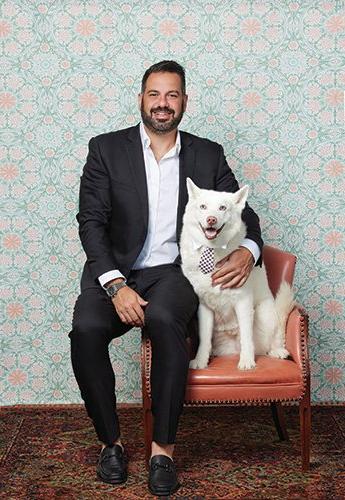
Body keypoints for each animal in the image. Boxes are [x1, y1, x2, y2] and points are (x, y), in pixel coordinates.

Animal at [179, 180, 294, 372]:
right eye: (203, 206)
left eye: (222, 207)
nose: (211, 219)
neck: (213, 251)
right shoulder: (204, 307)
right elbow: (204, 339)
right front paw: (201, 361)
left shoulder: (243, 302)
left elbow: (247, 337)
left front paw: (247, 361)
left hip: (264, 312)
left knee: (272, 338)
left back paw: (277, 350)